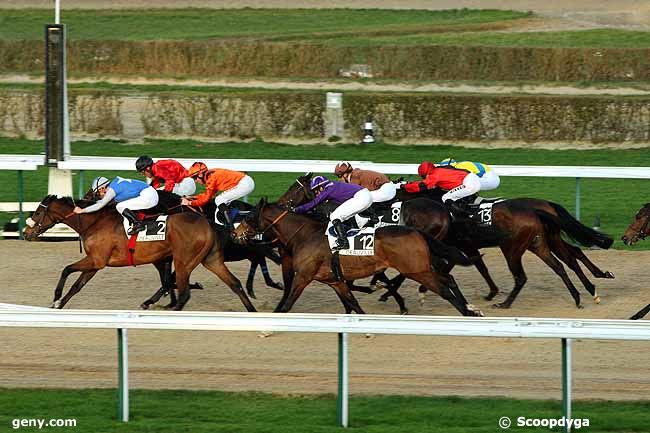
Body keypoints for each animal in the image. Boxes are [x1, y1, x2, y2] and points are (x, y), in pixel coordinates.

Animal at [23, 195, 256, 310]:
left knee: (183, 293)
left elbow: (66, 270)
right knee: (235, 283)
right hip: (210, 259)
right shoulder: (95, 264)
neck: (94, 222)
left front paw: (55, 298)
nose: (26, 232)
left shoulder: (96, 260)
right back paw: (252, 311)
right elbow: (76, 286)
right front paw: (59, 305)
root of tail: (208, 224)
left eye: (38, 211)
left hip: (184, 261)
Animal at [230, 197, 478, 316]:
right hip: (421, 268)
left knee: (444, 289)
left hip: (417, 270)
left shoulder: (303, 277)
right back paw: (471, 309)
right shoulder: (335, 280)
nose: (235, 233)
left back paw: (467, 312)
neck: (304, 235)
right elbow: (353, 302)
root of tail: (416, 231)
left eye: (250, 217)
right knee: (448, 279)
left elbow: (287, 304)